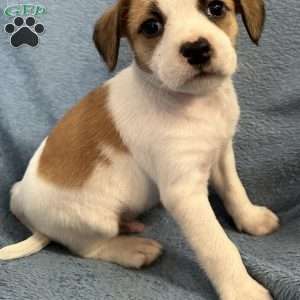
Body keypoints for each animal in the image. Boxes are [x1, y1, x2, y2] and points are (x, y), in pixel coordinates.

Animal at [1, 0, 280, 298]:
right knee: (88, 248)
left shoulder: (222, 153)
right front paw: (243, 289)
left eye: (216, 9)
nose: (196, 49)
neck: (196, 102)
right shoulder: (184, 194)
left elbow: (234, 190)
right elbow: (218, 247)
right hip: (95, 221)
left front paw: (251, 219)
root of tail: (19, 198)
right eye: (151, 26)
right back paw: (131, 248)